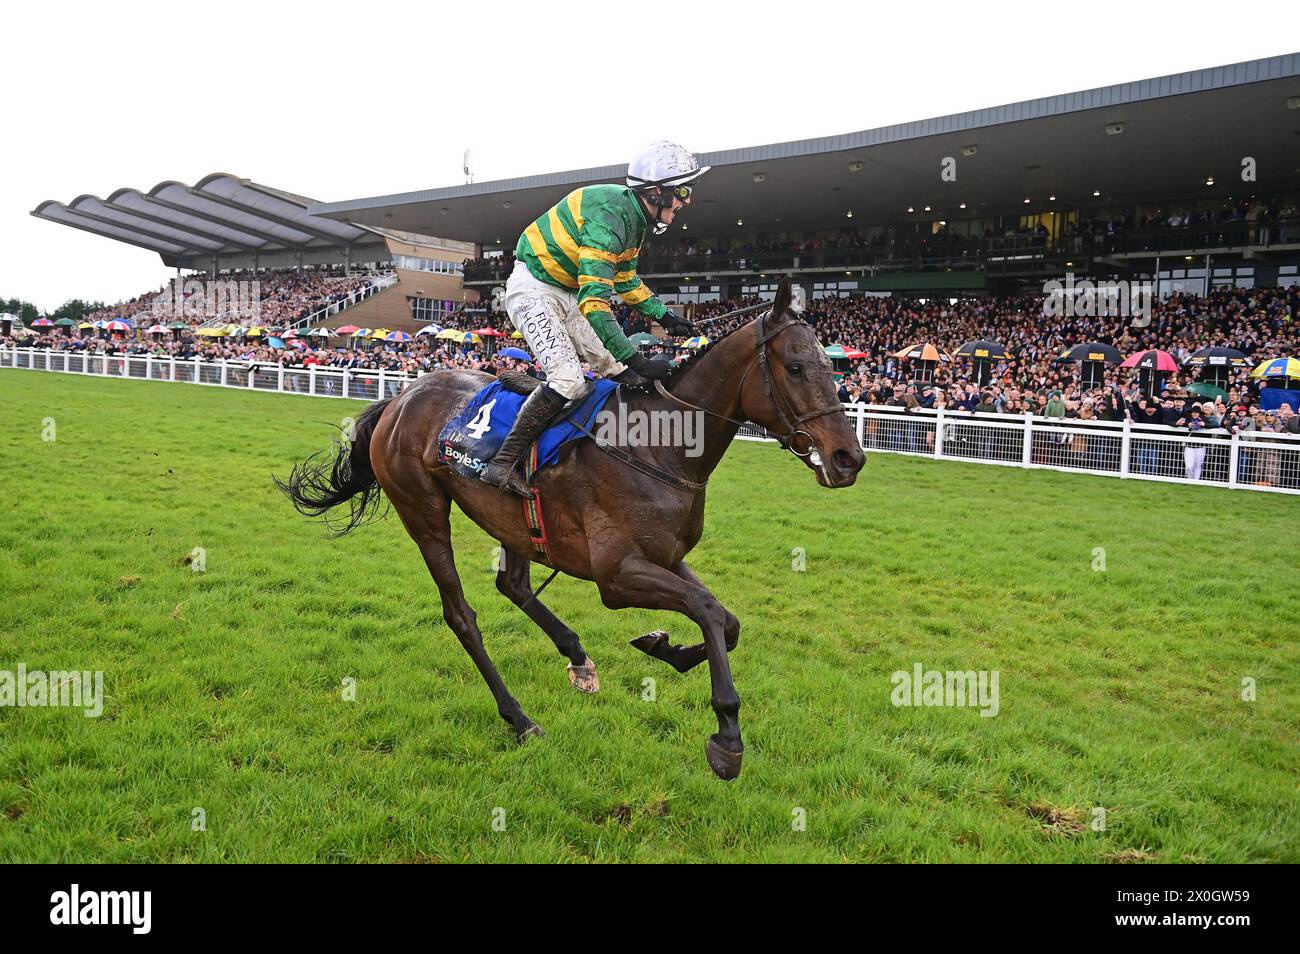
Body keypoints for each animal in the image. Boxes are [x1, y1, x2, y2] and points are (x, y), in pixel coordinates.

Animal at [274, 278, 863, 785]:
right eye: (795, 367)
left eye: (832, 368)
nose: (848, 458)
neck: (660, 445)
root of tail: (399, 398)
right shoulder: (616, 576)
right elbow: (710, 612)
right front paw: (727, 737)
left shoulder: (667, 556)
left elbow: (727, 619)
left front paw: (664, 647)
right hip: (422, 510)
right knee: (462, 615)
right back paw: (519, 717)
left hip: (512, 521)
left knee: (512, 585)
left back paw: (577, 657)